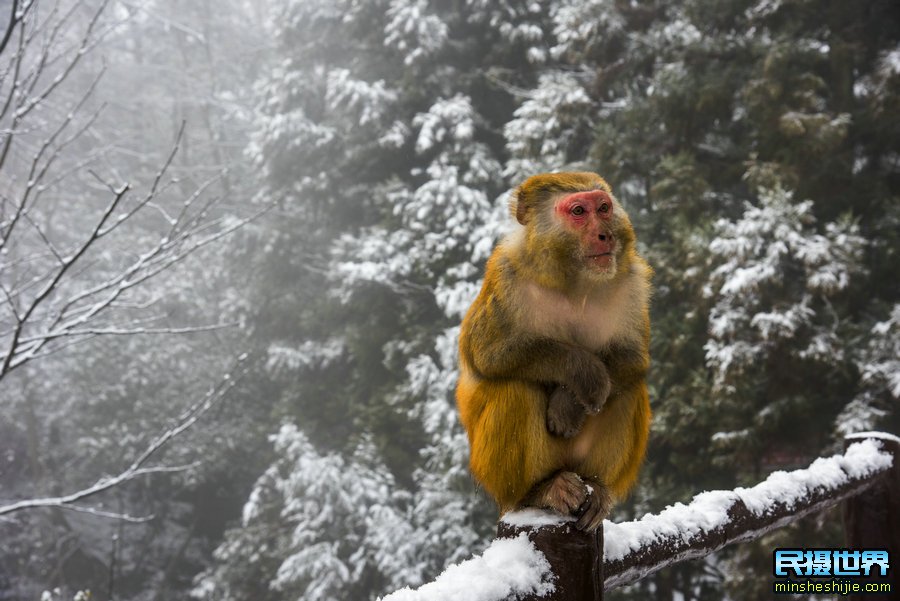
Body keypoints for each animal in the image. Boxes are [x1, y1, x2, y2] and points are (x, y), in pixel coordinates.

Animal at [454, 170, 652, 528]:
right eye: (578, 212)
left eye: (603, 208)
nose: (604, 235)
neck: (573, 281)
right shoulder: (506, 276)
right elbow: (487, 355)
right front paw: (583, 373)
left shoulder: (632, 282)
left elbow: (632, 358)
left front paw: (566, 403)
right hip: (494, 474)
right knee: (515, 388)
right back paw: (539, 491)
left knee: (628, 389)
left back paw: (598, 489)